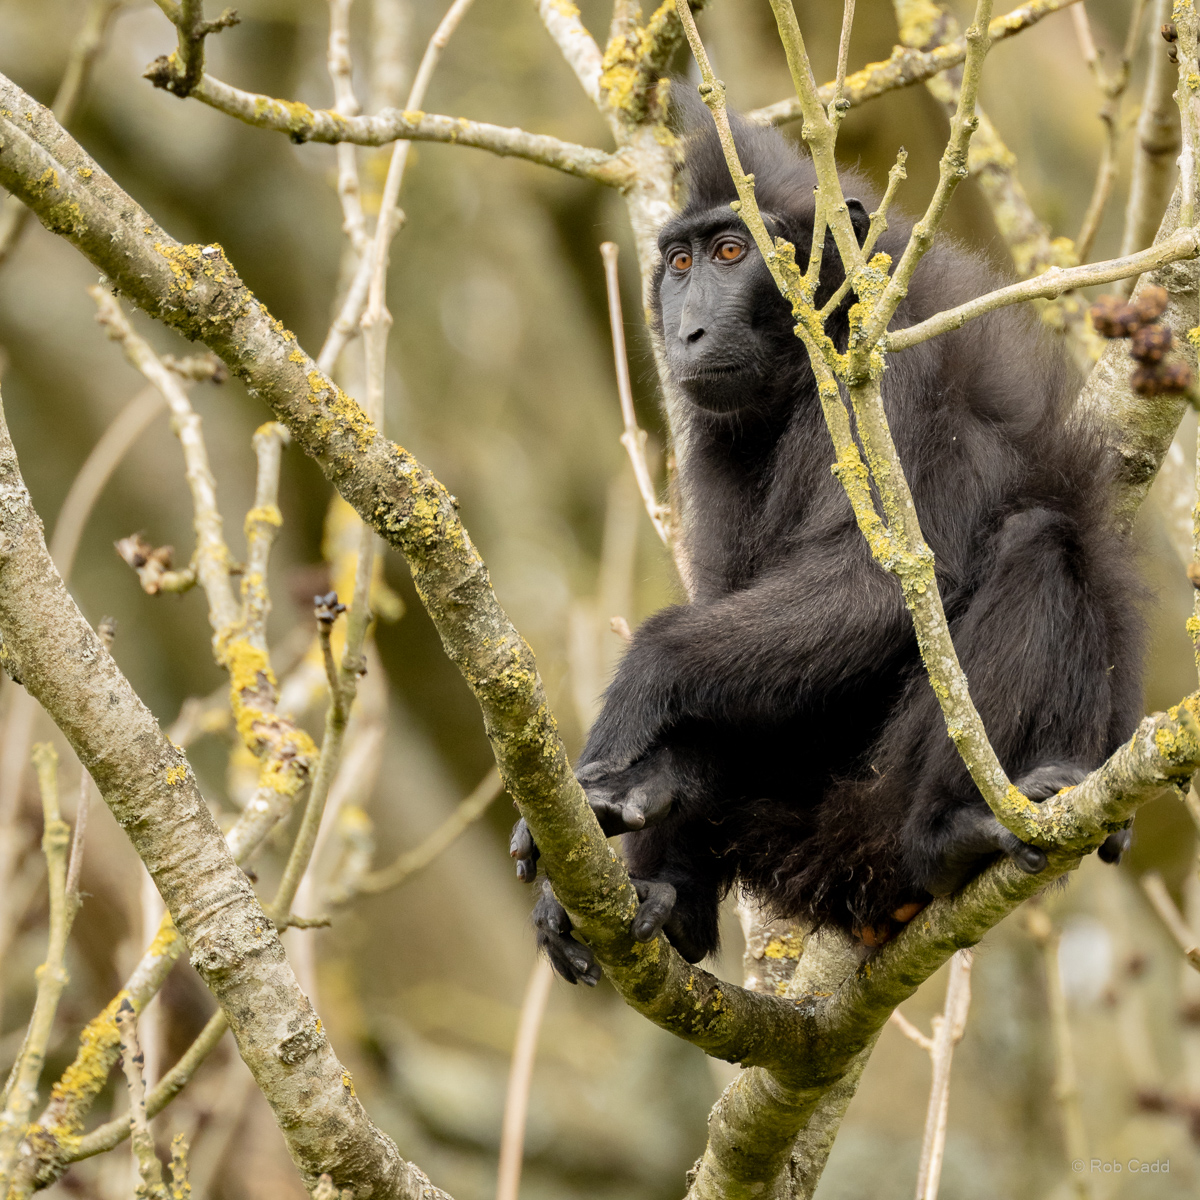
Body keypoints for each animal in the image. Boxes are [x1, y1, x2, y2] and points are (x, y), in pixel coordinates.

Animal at [510, 101, 1143, 985]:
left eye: (733, 253)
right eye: (678, 262)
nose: (687, 332)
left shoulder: (883, 376)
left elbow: (882, 587)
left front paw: (635, 696)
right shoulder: (715, 438)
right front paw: (648, 788)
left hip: (864, 808)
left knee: (1043, 545)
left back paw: (947, 833)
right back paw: (669, 882)